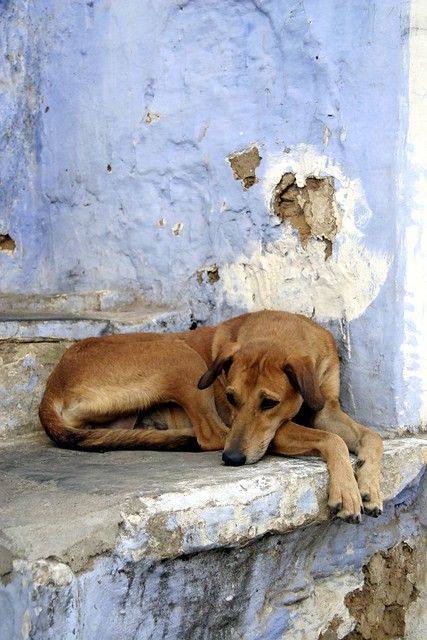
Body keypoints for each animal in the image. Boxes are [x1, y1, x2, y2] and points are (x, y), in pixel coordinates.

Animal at [39, 310, 384, 524]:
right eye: (230, 397)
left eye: (269, 402)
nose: (232, 459)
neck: (282, 330)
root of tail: (50, 389)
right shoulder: (276, 431)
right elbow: (333, 440)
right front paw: (347, 491)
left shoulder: (325, 410)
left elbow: (372, 436)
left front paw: (368, 483)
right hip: (180, 356)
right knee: (210, 435)